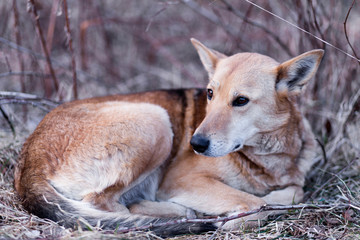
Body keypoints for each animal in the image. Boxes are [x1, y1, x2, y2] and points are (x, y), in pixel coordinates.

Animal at [14, 38, 324, 235]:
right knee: (105, 206)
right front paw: (234, 218)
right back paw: (175, 214)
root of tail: (28, 164)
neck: (266, 156)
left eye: (241, 101)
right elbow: (257, 204)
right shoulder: (183, 179)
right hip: (156, 121)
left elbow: (295, 190)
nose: (195, 144)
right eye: (210, 93)